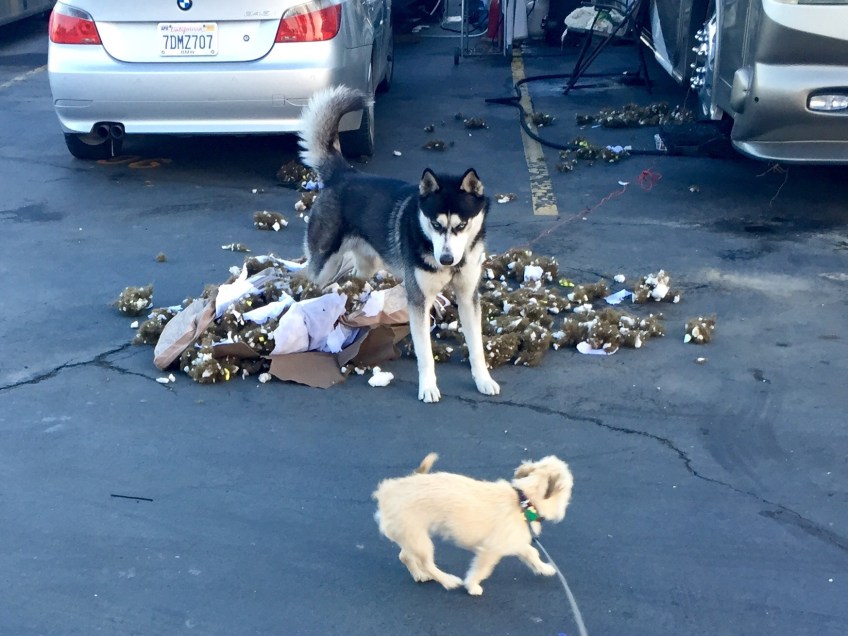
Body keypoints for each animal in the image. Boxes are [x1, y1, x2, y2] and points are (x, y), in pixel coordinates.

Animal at [297, 85, 500, 403]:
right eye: (436, 224)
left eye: (461, 226)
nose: (446, 259)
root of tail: (344, 172)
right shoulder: (418, 300)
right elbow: (425, 353)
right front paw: (428, 387)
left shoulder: (468, 297)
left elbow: (476, 346)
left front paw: (483, 380)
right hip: (323, 265)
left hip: (367, 266)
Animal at [373, 453, 574, 595]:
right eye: (569, 489)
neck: (524, 500)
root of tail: (386, 491)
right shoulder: (491, 550)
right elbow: (482, 570)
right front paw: (472, 586)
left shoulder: (515, 541)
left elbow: (531, 553)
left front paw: (544, 568)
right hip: (420, 541)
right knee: (427, 562)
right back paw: (448, 581)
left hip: (412, 536)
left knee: (405, 556)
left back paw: (419, 575)